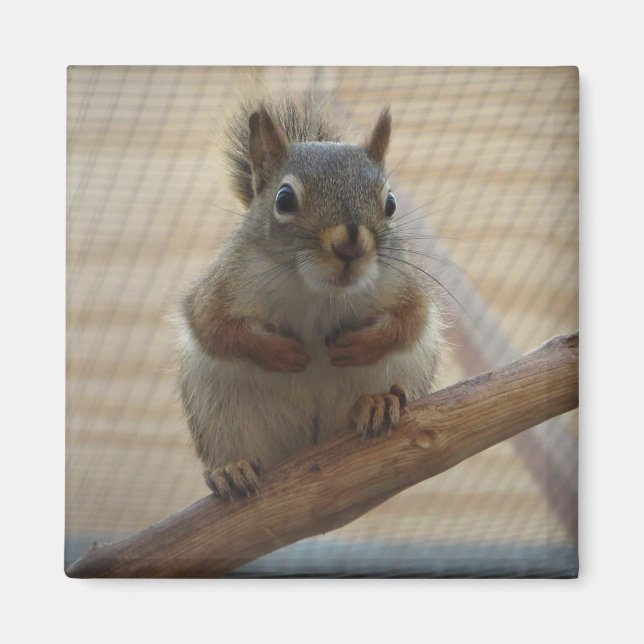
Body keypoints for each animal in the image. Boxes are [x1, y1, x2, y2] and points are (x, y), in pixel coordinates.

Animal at [177, 96, 443, 498]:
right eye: (284, 199)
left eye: (391, 203)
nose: (350, 244)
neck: (317, 291)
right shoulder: (221, 286)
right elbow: (213, 327)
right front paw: (277, 352)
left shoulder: (402, 283)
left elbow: (412, 319)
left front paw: (361, 345)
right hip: (219, 411)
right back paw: (231, 468)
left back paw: (377, 402)